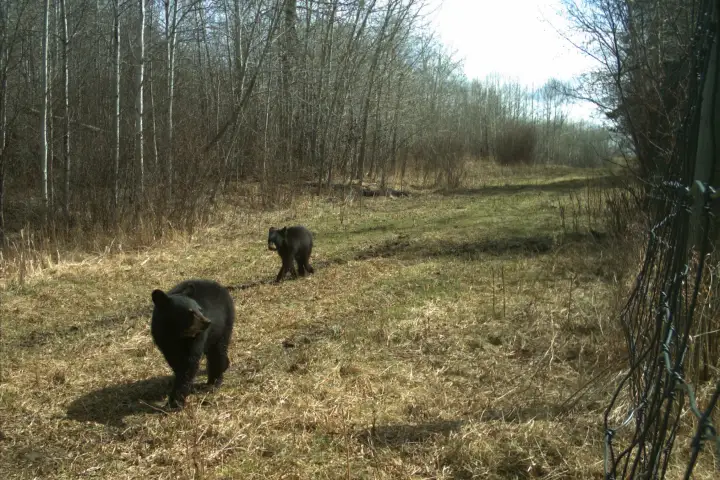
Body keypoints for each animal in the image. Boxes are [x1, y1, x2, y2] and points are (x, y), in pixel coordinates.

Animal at [150, 279, 235, 409]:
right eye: (190, 313)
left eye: (200, 309)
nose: (207, 322)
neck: (178, 333)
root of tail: (221, 287)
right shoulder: (163, 338)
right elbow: (174, 359)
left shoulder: (197, 337)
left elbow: (189, 363)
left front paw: (175, 401)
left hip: (224, 323)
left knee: (217, 351)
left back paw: (213, 382)